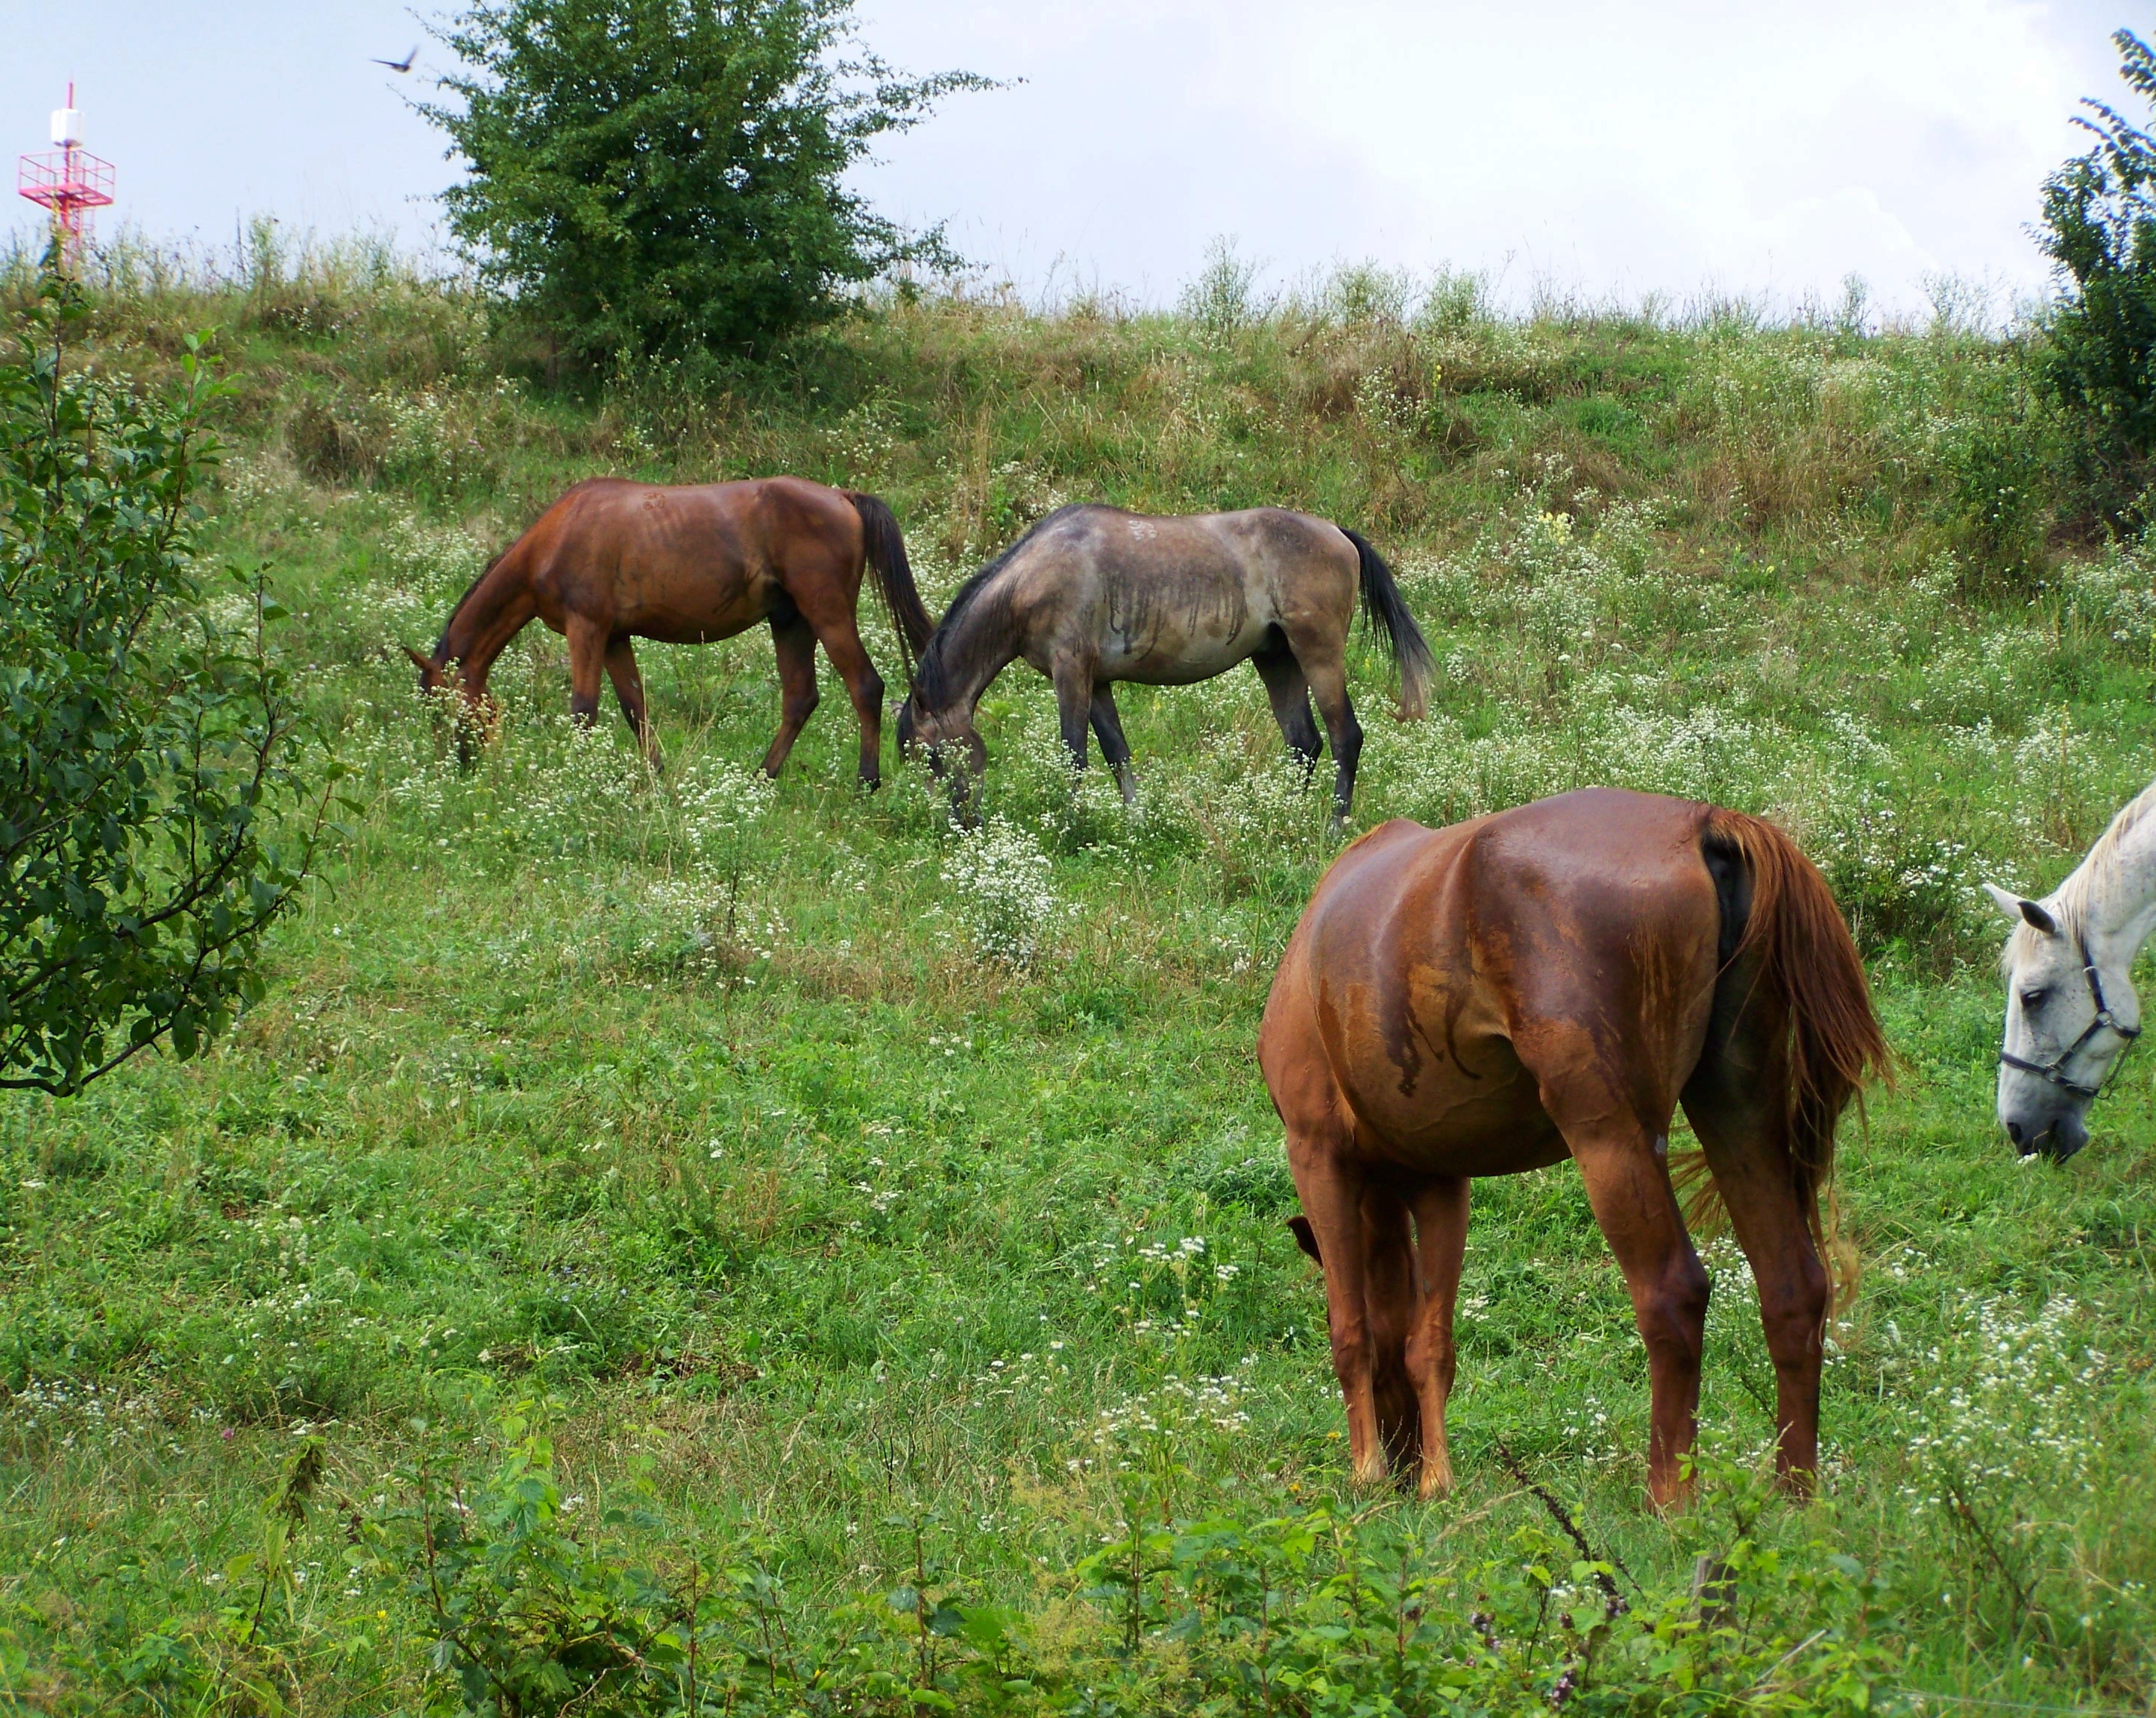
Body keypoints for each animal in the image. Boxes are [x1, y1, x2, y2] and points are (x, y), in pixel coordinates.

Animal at [407, 476, 931, 784]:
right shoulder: (613, 637)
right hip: (791, 621)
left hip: (826, 614)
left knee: (865, 687)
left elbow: (583, 710)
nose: (457, 765)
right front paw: (657, 773)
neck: (557, 536)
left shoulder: (586, 629)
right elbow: (633, 706)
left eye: (439, 706)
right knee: (800, 698)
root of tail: (843, 497)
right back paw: (762, 776)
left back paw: (866, 782)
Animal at [892, 502, 1431, 823]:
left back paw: (1332, 825)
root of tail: (1337, 532)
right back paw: (1282, 817)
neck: (1034, 577)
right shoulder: (1097, 682)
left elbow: (1074, 755)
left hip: (1317, 653)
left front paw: (1070, 823)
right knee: (1304, 743)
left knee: (1344, 737)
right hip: (1277, 660)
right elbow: (1116, 754)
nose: (956, 824)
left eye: (932, 755)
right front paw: (1135, 822)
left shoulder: (1071, 674)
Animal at [1259, 789, 1888, 1500]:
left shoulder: (1317, 1155)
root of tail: (1703, 822)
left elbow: (1352, 1331)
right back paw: (1792, 1495)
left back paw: (1669, 1499)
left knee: (1673, 1295)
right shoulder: (1439, 1181)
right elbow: (1428, 1342)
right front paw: (1432, 1480)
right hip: (1739, 1114)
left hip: (1610, 1140)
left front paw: (1367, 1473)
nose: (1400, 1457)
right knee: (1792, 1287)